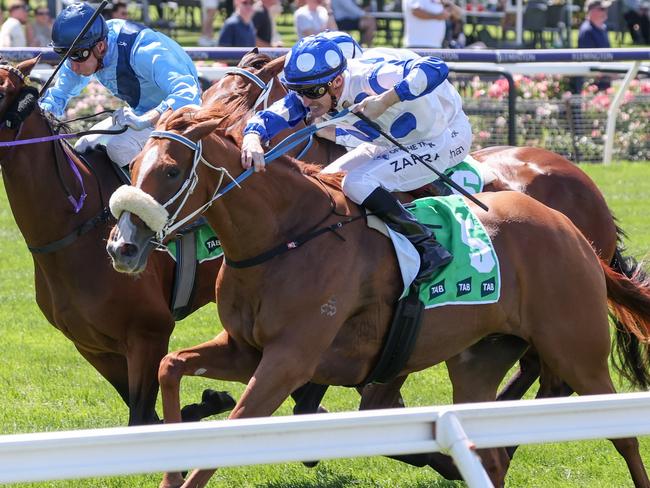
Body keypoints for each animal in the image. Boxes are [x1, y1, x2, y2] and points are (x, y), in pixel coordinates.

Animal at [107, 106, 648, 488]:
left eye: (171, 171)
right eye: (131, 168)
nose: (122, 247)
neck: (286, 236)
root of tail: (574, 231)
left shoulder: (289, 361)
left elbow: (233, 428)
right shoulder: (246, 350)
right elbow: (170, 365)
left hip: (577, 352)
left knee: (620, 433)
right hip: (478, 360)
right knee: (491, 451)